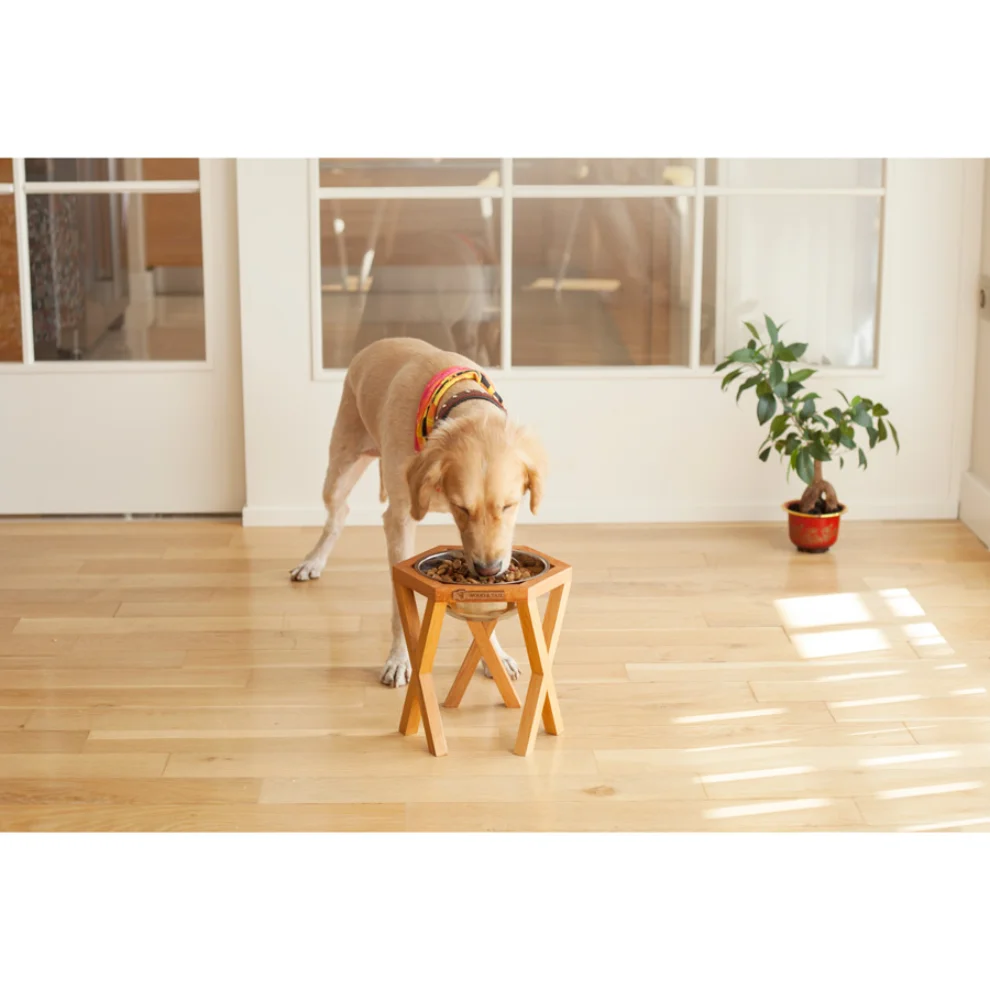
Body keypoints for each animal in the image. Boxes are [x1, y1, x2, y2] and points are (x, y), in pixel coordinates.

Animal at [286, 336, 552, 688]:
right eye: (462, 507)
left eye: (509, 506)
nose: (487, 570)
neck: (458, 402)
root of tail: (377, 343)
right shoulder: (400, 519)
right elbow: (400, 604)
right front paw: (399, 659)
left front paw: (493, 654)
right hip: (340, 466)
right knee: (337, 514)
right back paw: (313, 561)